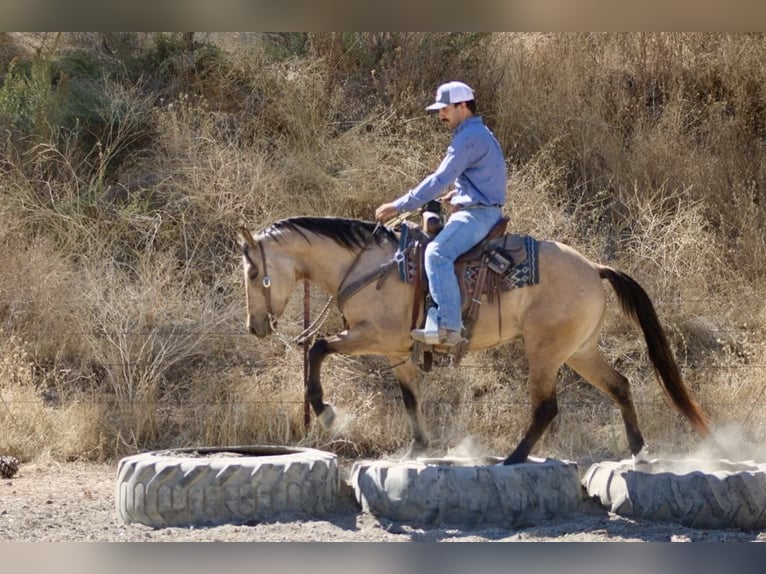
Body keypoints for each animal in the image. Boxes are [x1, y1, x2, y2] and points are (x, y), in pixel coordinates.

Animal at [237, 215, 712, 464]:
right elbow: (410, 397)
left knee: (547, 408)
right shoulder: (397, 351)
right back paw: (638, 452)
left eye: (252, 272)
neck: (367, 267)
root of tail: (594, 268)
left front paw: (327, 411)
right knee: (620, 386)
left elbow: (318, 349)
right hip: (579, 351)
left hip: (545, 352)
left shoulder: (371, 335)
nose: (254, 326)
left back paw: (514, 459)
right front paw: (417, 449)